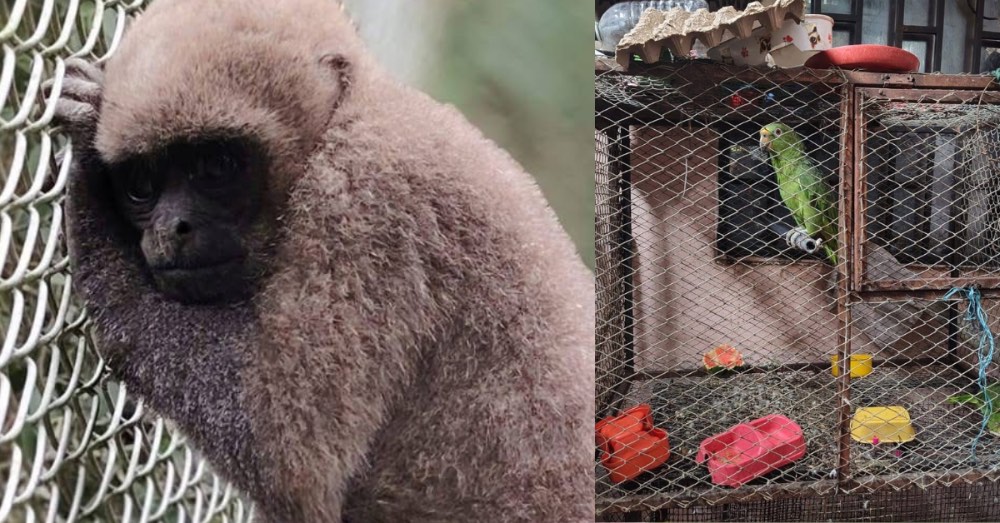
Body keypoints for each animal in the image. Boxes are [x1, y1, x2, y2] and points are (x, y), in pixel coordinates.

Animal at [52, 0, 594, 521]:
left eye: (217, 167)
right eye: (141, 186)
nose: (172, 228)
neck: (352, 110)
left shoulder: (363, 197)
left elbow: (288, 453)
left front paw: (85, 177)